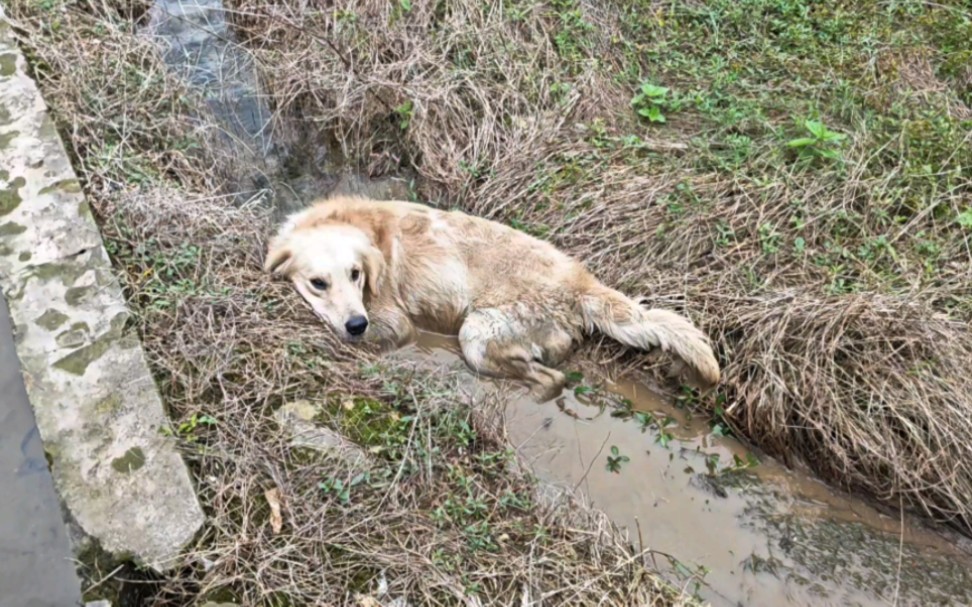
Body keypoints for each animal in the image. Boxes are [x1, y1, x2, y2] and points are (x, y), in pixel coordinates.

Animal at [262, 195, 716, 402]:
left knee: (551, 379)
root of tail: (580, 282)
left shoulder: (395, 320)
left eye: (355, 274)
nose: (356, 324)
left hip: (479, 332)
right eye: (318, 282)